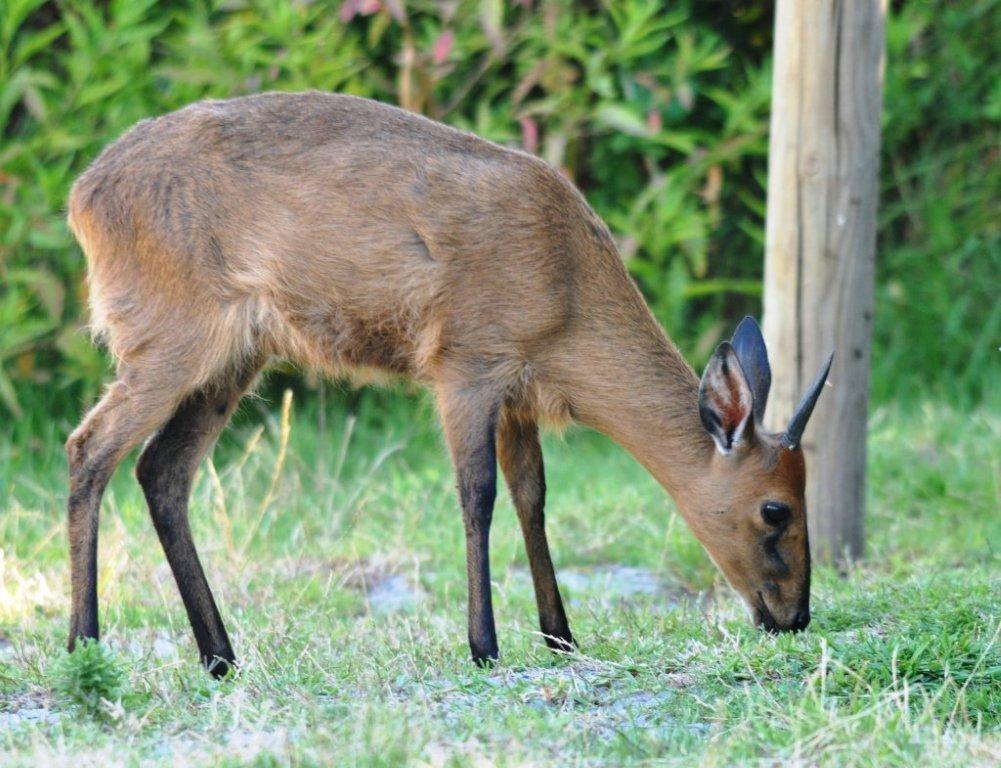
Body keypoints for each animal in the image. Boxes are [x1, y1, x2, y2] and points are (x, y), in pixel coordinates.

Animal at [62, 91, 828, 680]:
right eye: (775, 510)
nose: (794, 616)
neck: (566, 293)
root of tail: (83, 195)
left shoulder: (518, 390)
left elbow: (532, 497)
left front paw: (560, 635)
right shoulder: (465, 364)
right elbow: (477, 494)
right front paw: (484, 645)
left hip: (233, 359)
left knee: (162, 470)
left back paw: (220, 656)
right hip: (170, 339)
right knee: (88, 447)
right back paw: (84, 643)